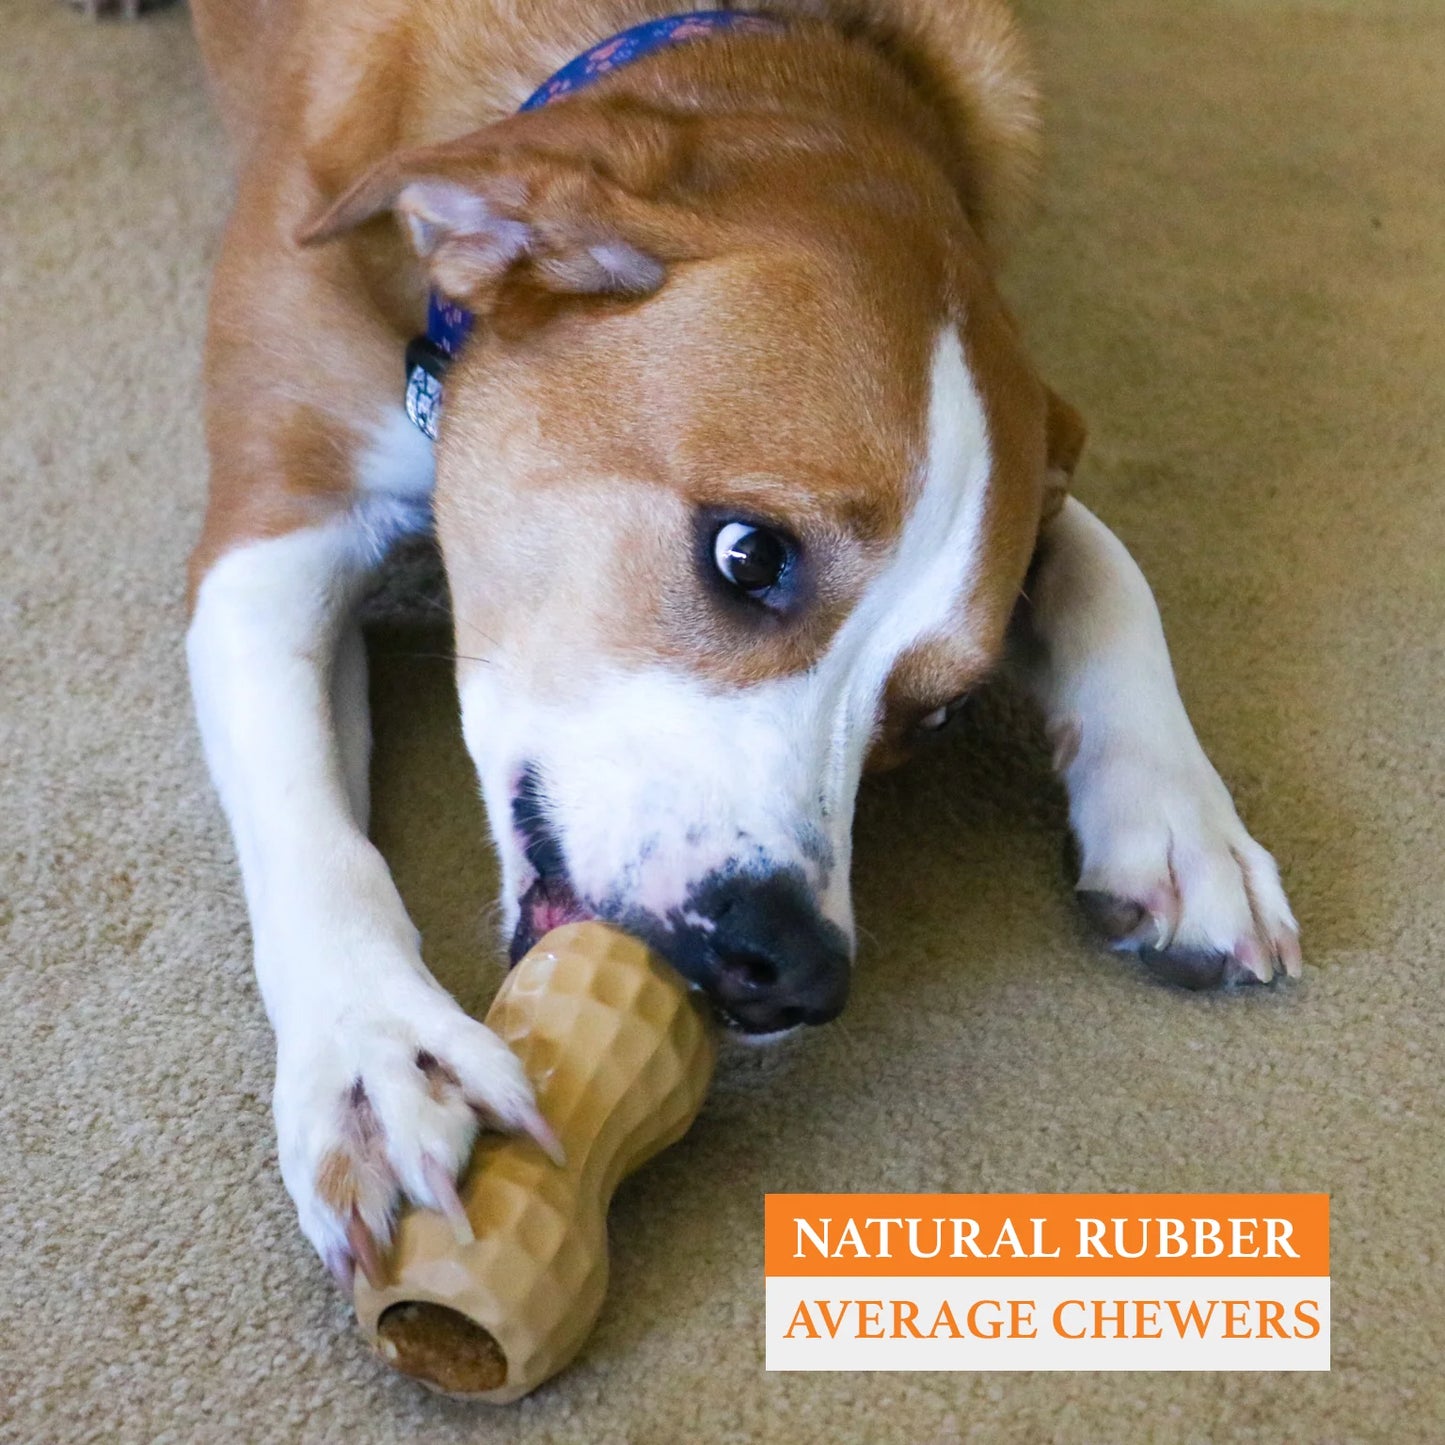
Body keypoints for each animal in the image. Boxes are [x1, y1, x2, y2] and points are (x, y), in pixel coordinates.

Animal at [180, 0, 1300, 1294]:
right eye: (748, 554)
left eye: (937, 715)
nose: (795, 969)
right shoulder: (273, 531)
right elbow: (310, 823)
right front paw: (377, 1048)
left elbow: (1105, 563)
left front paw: (1181, 824)